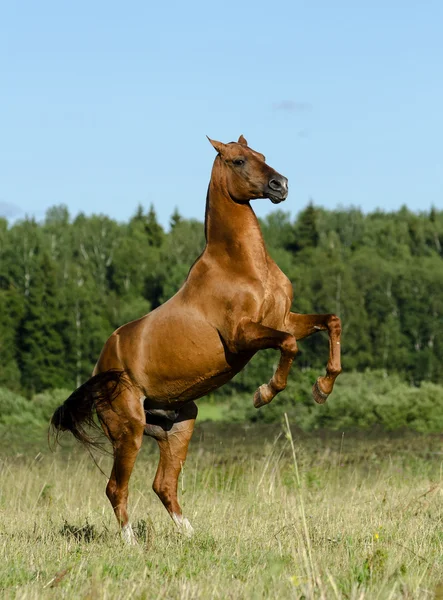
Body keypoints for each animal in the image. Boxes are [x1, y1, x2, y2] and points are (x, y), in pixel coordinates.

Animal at [52, 135, 344, 544]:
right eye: (238, 161)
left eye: (262, 155)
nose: (280, 185)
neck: (241, 266)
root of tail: (99, 371)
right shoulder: (242, 336)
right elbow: (289, 344)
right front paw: (265, 393)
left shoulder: (284, 318)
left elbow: (330, 321)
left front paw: (323, 387)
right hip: (129, 432)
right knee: (116, 488)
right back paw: (131, 543)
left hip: (179, 426)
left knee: (163, 485)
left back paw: (192, 535)